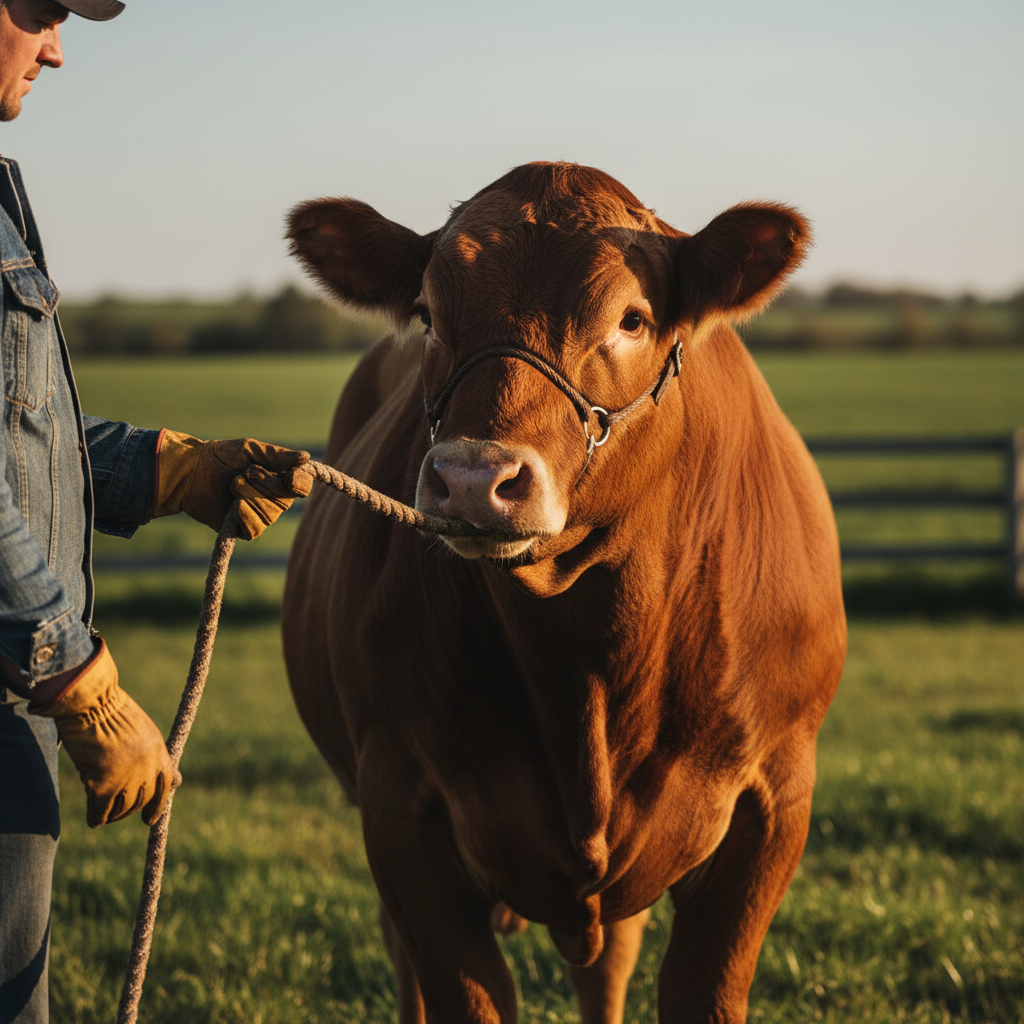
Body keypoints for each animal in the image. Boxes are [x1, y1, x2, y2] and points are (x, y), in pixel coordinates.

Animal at [282, 162, 846, 1024]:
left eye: (633, 319)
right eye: (428, 313)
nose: (473, 478)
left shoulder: (775, 798)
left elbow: (703, 990)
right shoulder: (399, 804)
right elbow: (462, 992)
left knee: (606, 964)